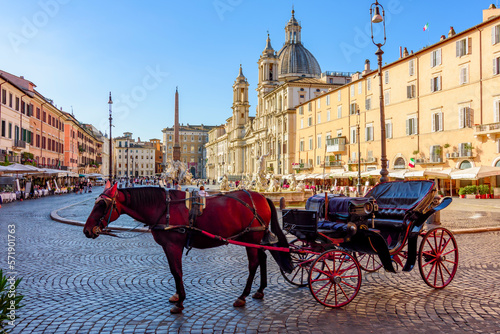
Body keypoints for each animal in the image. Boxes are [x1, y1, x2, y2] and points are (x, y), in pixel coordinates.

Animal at [82, 181, 292, 314]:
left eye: (102, 205)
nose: (86, 230)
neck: (163, 208)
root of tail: (262, 197)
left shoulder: (173, 245)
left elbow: (176, 271)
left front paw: (180, 301)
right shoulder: (171, 247)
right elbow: (175, 271)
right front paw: (177, 296)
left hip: (251, 236)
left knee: (253, 263)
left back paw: (243, 296)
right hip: (253, 238)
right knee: (262, 258)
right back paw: (260, 290)